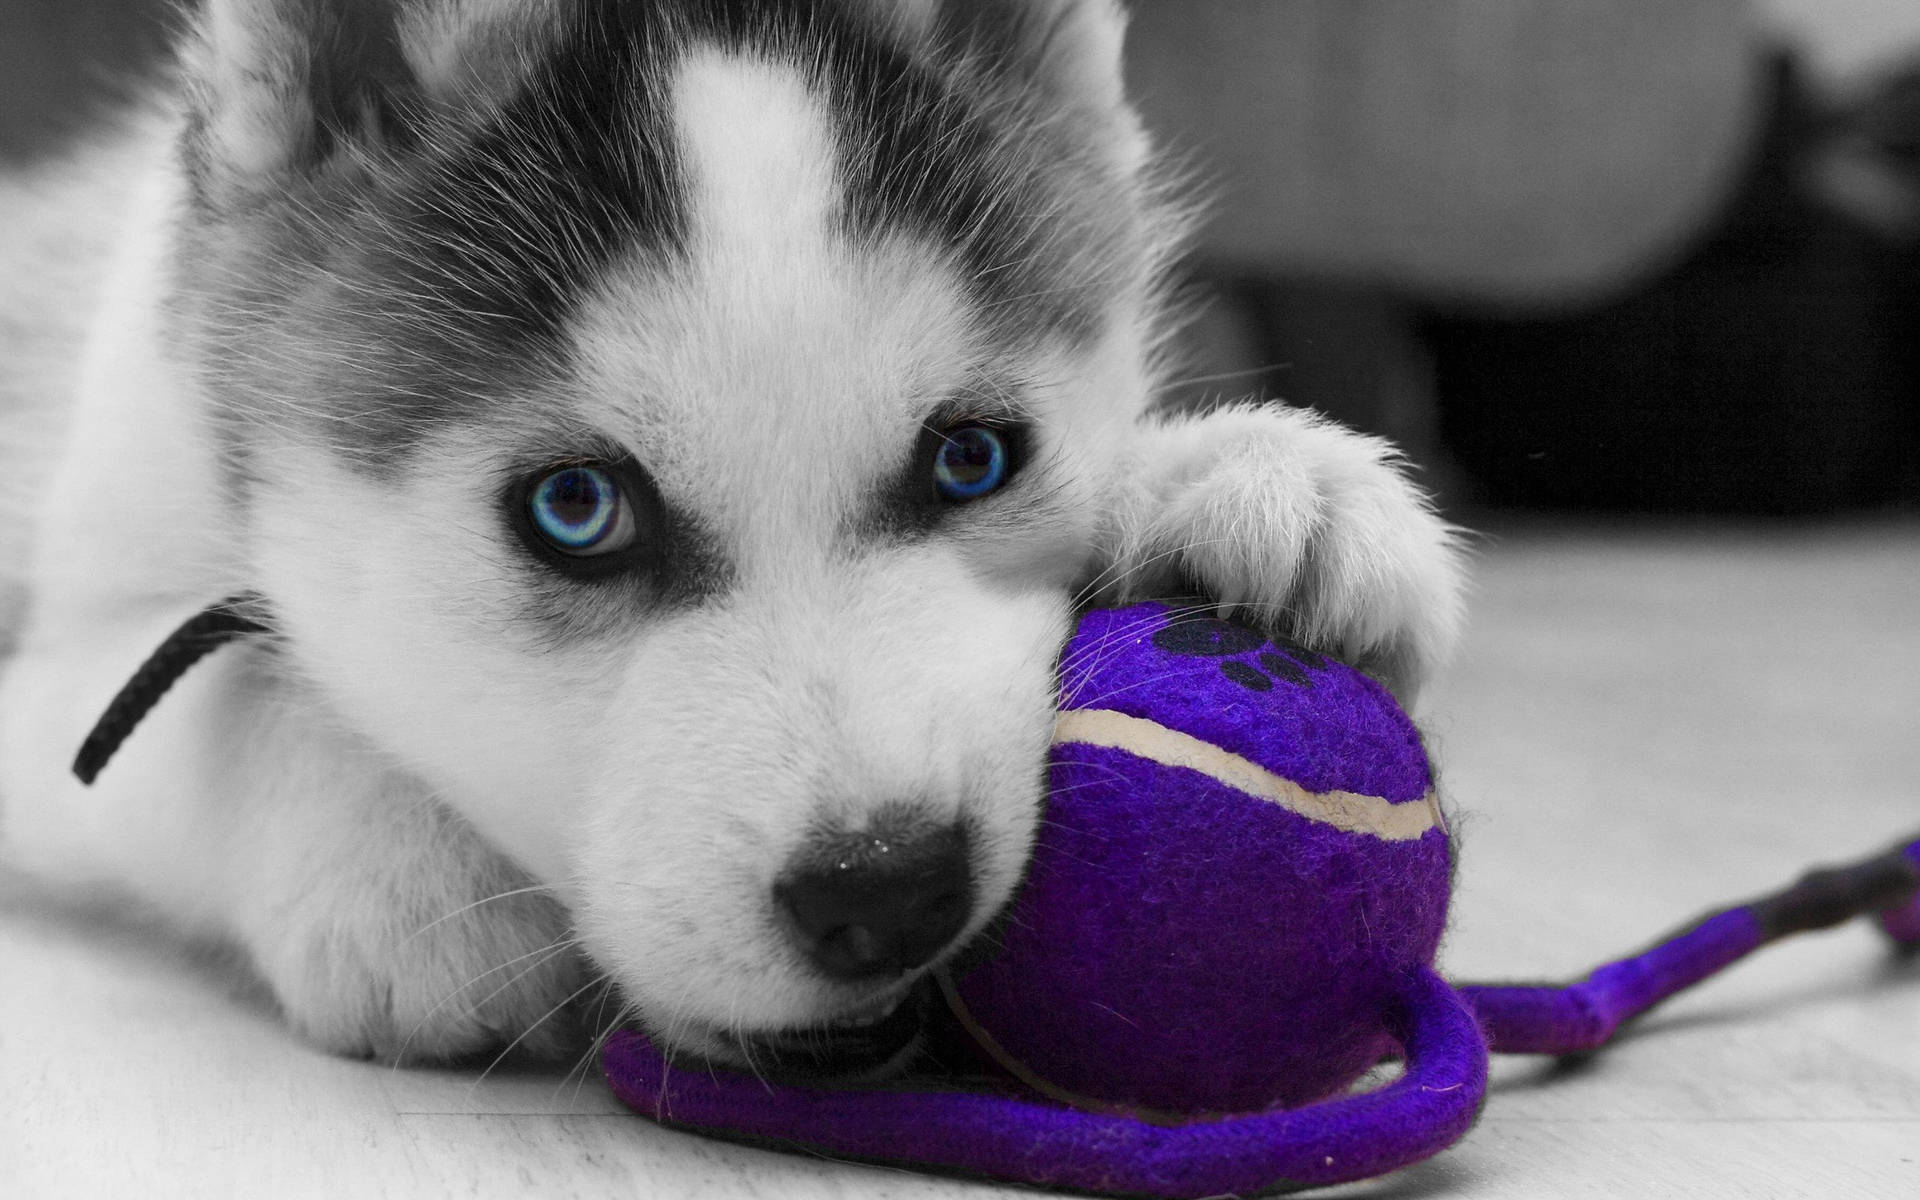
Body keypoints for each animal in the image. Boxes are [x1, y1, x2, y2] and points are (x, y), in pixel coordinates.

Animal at [0, 0, 1451, 1067]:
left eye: (973, 457)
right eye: (576, 509)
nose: (888, 894)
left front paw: (1228, 483)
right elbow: (222, 688)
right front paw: (392, 860)